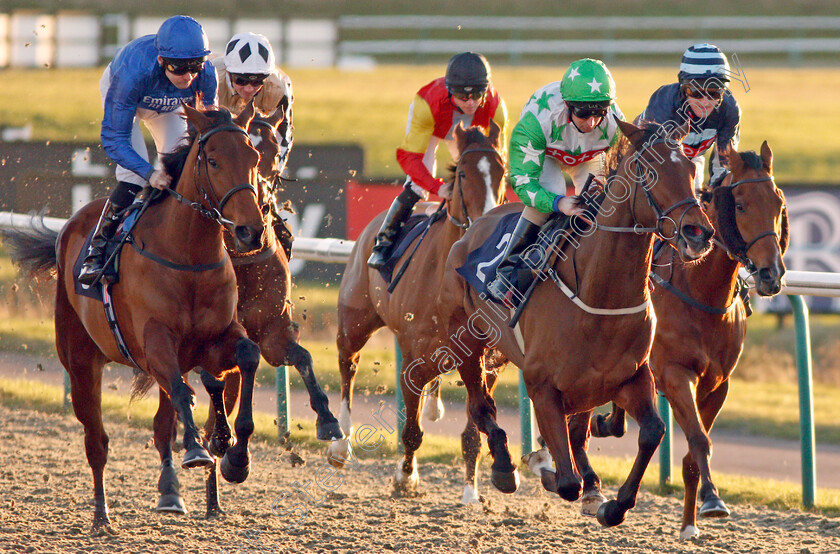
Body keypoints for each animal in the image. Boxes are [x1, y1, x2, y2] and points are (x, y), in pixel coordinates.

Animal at [0, 102, 266, 532]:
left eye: (255, 158)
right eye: (212, 160)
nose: (250, 231)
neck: (187, 256)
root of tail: (67, 228)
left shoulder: (216, 340)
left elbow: (247, 356)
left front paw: (236, 457)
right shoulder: (152, 343)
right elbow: (182, 392)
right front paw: (198, 450)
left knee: (163, 421)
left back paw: (178, 487)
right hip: (80, 362)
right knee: (96, 441)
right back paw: (101, 516)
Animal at [328, 122, 512, 500]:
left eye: (502, 172)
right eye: (464, 174)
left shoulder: (486, 364)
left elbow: (475, 429)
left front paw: (471, 492)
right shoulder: (411, 361)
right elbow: (411, 431)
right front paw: (405, 477)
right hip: (354, 320)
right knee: (348, 366)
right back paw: (341, 444)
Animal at [440, 121, 716, 528]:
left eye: (692, 171)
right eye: (650, 170)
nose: (700, 233)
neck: (601, 296)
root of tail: (474, 227)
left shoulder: (630, 377)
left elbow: (652, 431)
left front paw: (613, 505)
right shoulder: (541, 385)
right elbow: (567, 479)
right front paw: (545, 465)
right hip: (470, 342)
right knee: (480, 405)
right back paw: (506, 467)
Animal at [584, 141, 788, 536]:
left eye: (778, 203)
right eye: (740, 204)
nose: (771, 274)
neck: (702, 293)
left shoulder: (718, 383)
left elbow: (695, 449)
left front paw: (691, 521)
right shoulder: (675, 374)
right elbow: (697, 438)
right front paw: (713, 499)